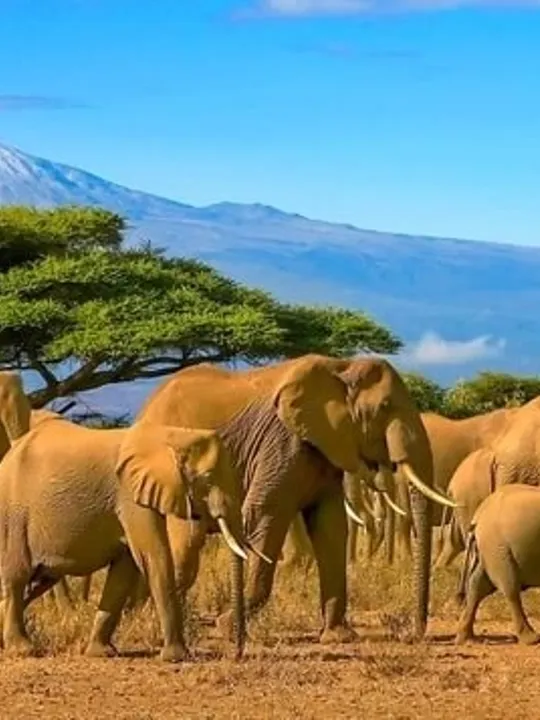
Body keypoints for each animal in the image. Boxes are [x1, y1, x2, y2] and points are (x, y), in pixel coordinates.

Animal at [0, 416, 249, 661]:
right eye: (207, 479)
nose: (237, 653)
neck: (172, 435)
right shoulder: (130, 495)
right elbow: (153, 556)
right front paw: (177, 657)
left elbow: (124, 569)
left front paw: (101, 653)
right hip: (13, 517)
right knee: (17, 577)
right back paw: (23, 650)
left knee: (38, 582)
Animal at [135, 353, 455, 642]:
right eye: (385, 407)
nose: (414, 634)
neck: (342, 367)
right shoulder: (283, 442)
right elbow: (266, 514)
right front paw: (227, 628)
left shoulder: (325, 448)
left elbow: (330, 527)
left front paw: (338, 636)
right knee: (186, 546)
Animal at [455, 484, 540, 645]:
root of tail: (478, 516)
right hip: (497, 547)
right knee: (510, 588)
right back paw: (531, 639)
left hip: (489, 549)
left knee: (478, 585)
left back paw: (466, 638)